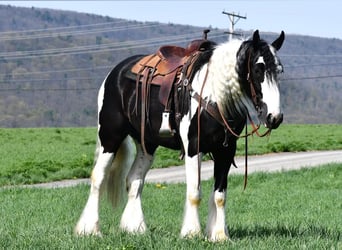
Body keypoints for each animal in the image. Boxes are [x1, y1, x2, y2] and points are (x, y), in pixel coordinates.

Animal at [75, 30, 286, 241]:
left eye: (279, 70)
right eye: (258, 69)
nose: (274, 117)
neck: (213, 95)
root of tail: (114, 73)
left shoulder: (225, 151)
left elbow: (220, 196)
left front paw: (219, 235)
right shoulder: (193, 148)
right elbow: (194, 193)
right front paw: (191, 232)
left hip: (146, 145)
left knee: (134, 180)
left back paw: (135, 228)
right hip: (110, 136)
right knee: (98, 177)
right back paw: (89, 229)